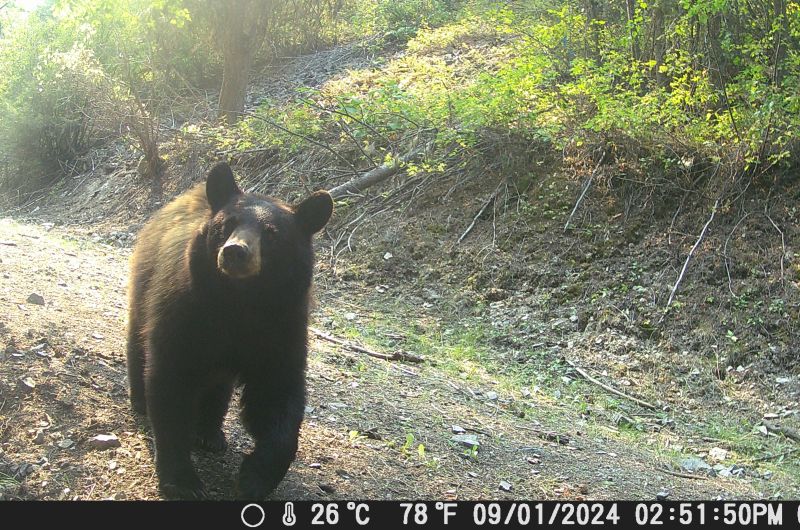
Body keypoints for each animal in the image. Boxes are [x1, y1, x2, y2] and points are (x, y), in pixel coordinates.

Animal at [126, 162, 333, 499]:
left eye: (272, 233)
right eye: (227, 224)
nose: (235, 251)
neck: (239, 302)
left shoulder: (282, 325)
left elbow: (276, 394)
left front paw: (254, 478)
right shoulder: (186, 310)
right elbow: (172, 381)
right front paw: (182, 480)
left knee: (218, 385)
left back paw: (211, 433)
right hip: (145, 283)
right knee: (139, 341)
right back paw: (140, 400)